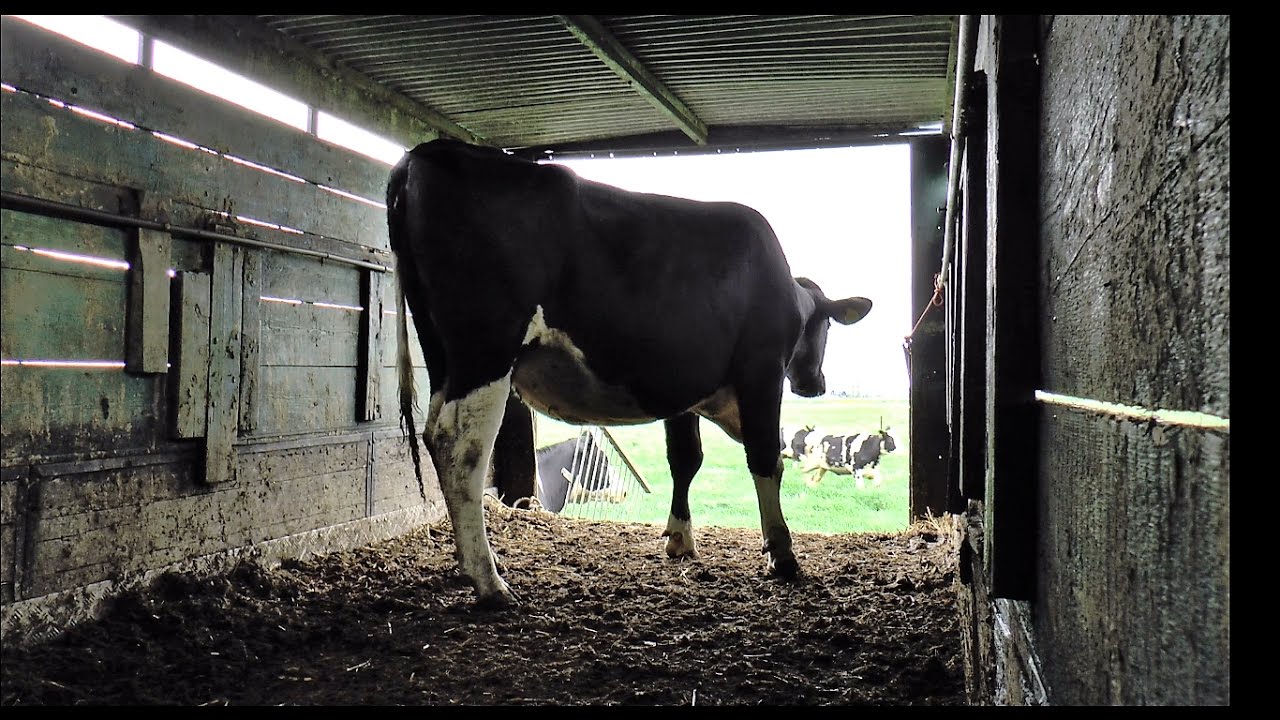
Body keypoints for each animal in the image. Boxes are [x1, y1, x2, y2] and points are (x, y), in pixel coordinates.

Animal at [386, 138, 873, 607]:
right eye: (827, 326)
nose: (815, 384)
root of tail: (424, 153)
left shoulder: (683, 388)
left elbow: (686, 459)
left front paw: (679, 538)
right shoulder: (761, 370)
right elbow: (766, 457)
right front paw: (782, 554)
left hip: (444, 356)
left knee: (436, 434)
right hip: (485, 349)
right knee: (460, 445)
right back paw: (489, 580)